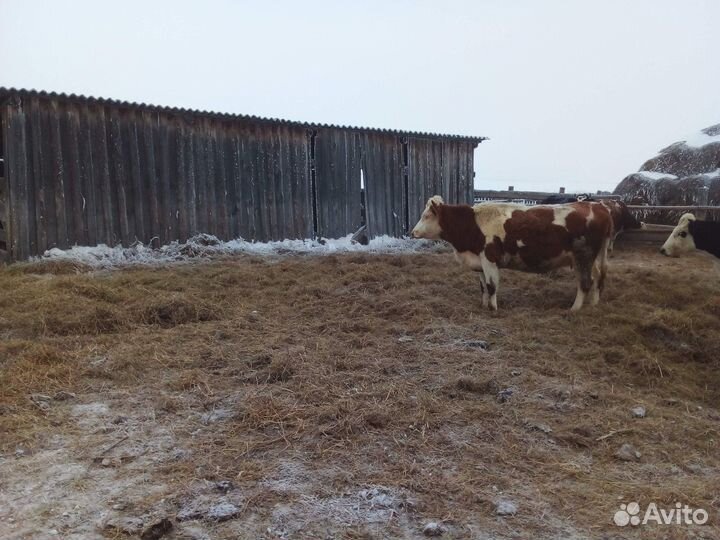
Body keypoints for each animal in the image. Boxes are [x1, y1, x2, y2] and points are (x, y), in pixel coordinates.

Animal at [410, 196, 613, 311]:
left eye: (426, 216)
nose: (413, 232)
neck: (473, 223)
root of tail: (598, 206)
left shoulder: (489, 259)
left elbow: (492, 286)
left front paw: (493, 309)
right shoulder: (480, 262)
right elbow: (483, 287)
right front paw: (484, 305)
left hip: (583, 256)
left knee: (585, 283)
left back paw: (574, 309)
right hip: (589, 258)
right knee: (597, 278)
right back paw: (593, 304)